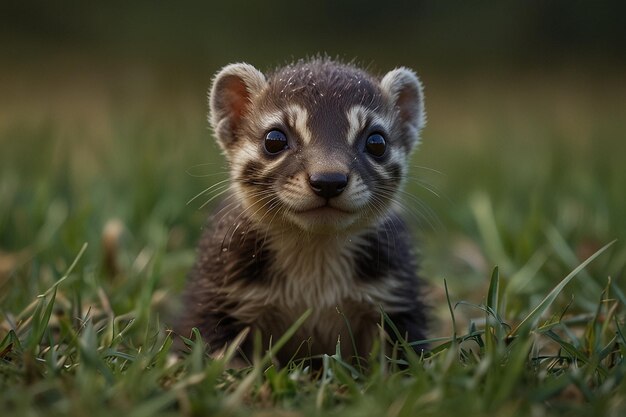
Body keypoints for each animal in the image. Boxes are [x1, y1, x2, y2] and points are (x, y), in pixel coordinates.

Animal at [178, 57, 426, 362]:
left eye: (376, 141)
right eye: (274, 139)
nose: (329, 180)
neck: (314, 288)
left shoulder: (397, 298)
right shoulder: (216, 302)